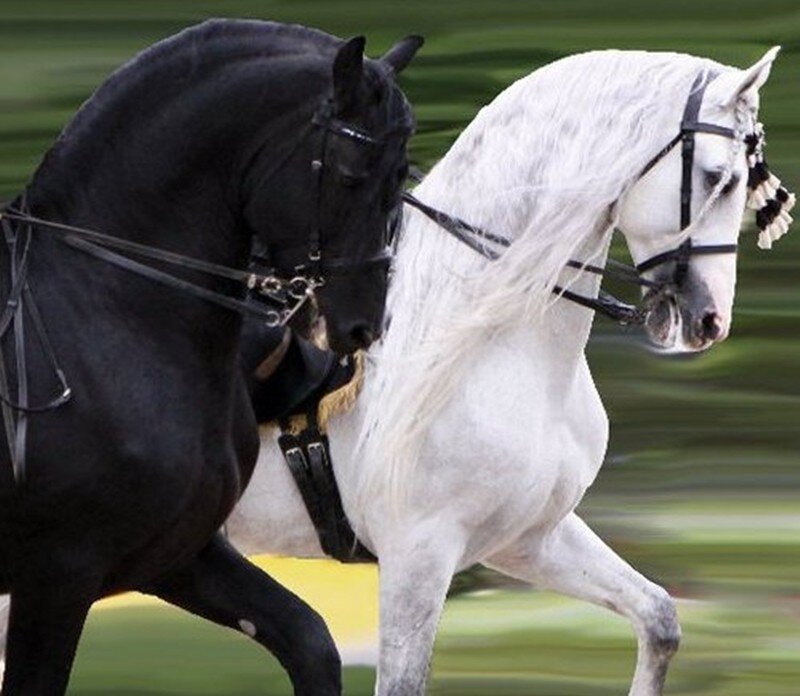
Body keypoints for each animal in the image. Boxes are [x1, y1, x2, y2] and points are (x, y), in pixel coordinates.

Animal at [0, 19, 421, 695]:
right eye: (351, 174)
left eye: (400, 174)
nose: (360, 326)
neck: (102, 311)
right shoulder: (58, 573)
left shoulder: (176, 553)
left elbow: (310, 641)